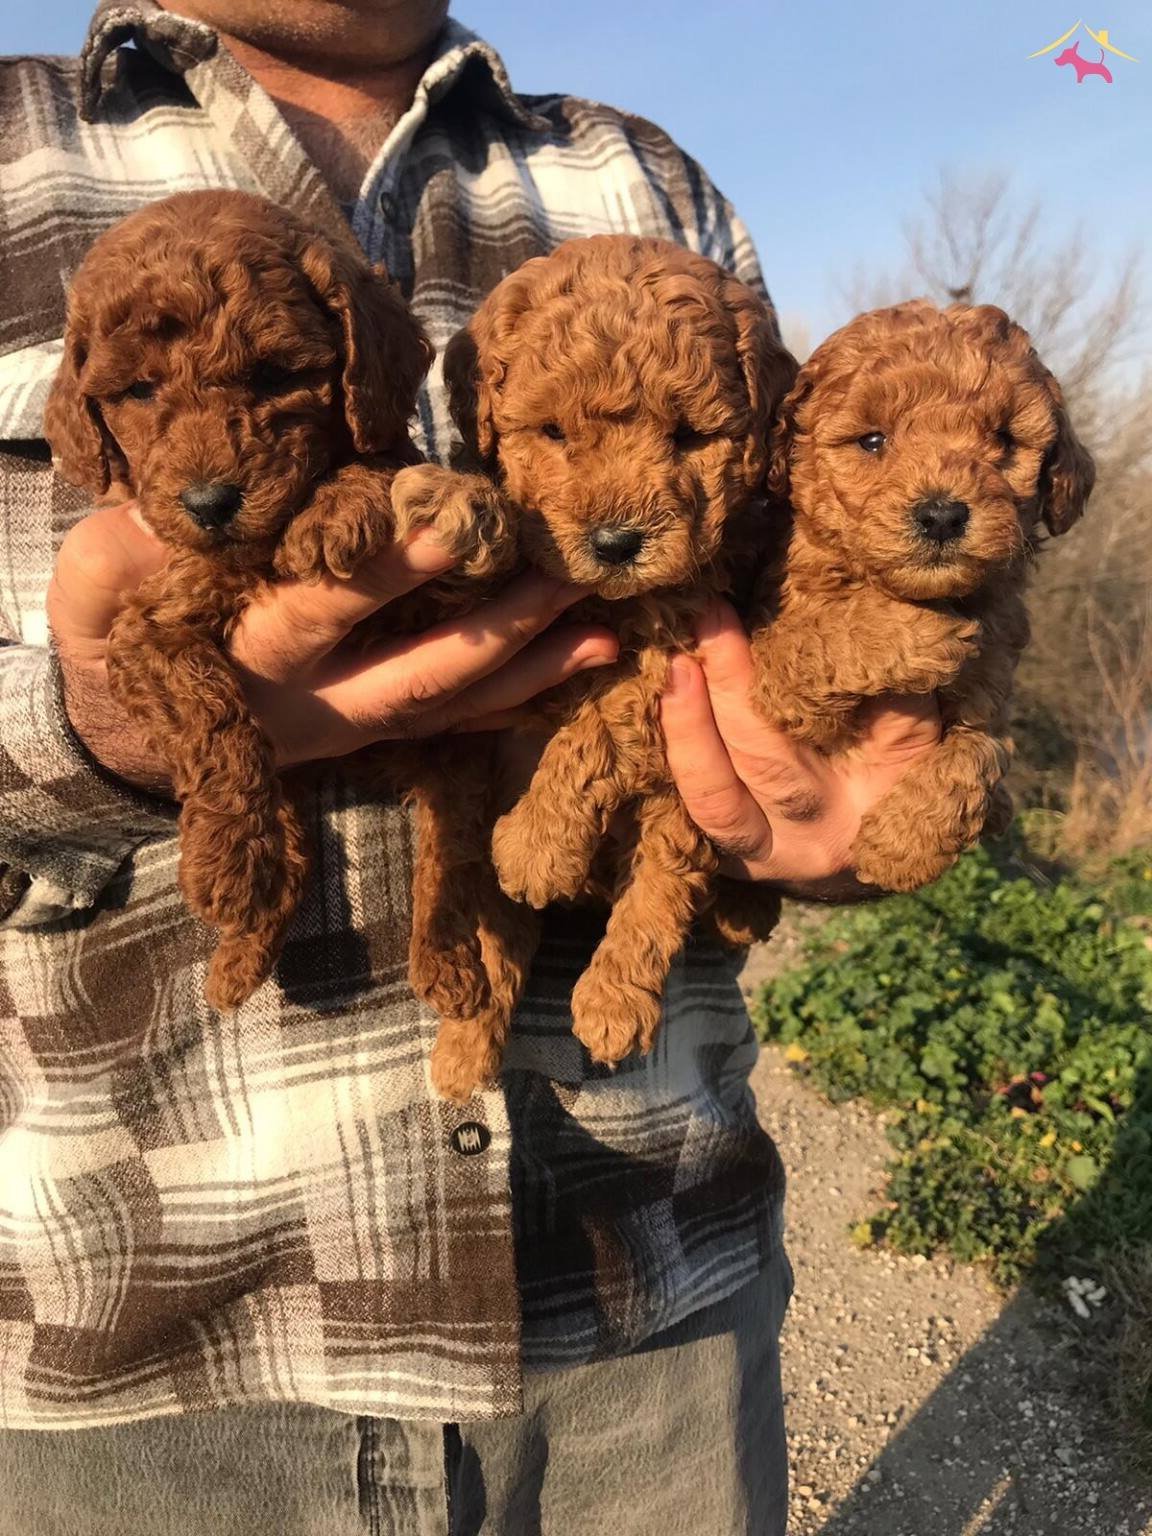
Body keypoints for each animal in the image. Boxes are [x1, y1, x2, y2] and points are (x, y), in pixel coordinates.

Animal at [45, 189, 514, 1010]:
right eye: (138, 391)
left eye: (272, 375)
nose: (208, 502)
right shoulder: (147, 630)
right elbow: (210, 713)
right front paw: (232, 864)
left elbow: (387, 470)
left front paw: (343, 504)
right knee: (293, 851)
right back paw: (241, 945)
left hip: (455, 761)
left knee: (449, 858)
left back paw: (448, 968)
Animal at [409, 234, 796, 1099]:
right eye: (551, 432)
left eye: (688, 436)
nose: (618, 543)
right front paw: (447, 507)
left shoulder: (675, 635)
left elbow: (599, 721)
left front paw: (537, 842)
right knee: (496, 948)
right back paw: (461, 1052)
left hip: (679, 815)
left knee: (658, 892)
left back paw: (616, 997)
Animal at [752, 299, 1094, 890]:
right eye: (872, 441)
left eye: (1005, 441)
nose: (941, 515)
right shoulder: (778, 676)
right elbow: (810, 640)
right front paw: (918, 633)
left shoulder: (990, 694)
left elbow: (981, 753)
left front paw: (901, 844)